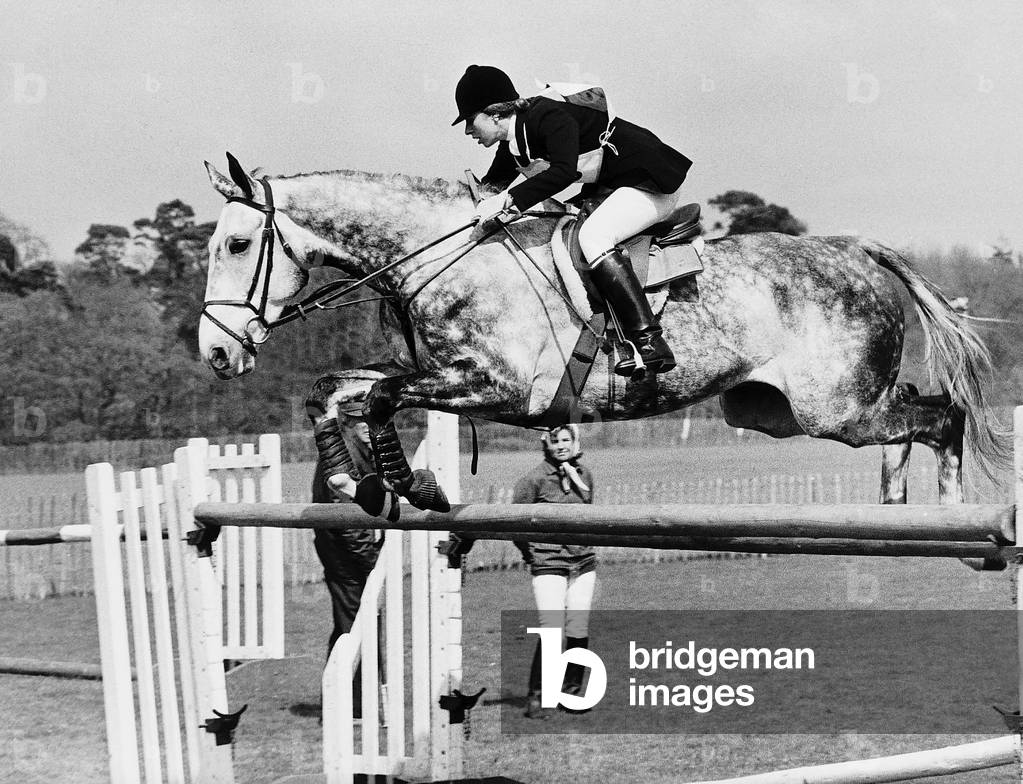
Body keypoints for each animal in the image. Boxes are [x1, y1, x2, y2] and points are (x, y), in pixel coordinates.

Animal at [198, 153, 1007, 524]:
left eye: (237, 244)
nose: (217, 352)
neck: (442, 253)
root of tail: (851, 249)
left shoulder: (497, 389)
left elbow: (380, 399)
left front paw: (409, 484)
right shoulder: (434, 373)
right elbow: (335, 390)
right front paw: (352, 482)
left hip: (833, 408)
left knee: (942, 417)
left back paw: (953, 514)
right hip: (777, 411)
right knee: (913, 415)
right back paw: (896, 506)